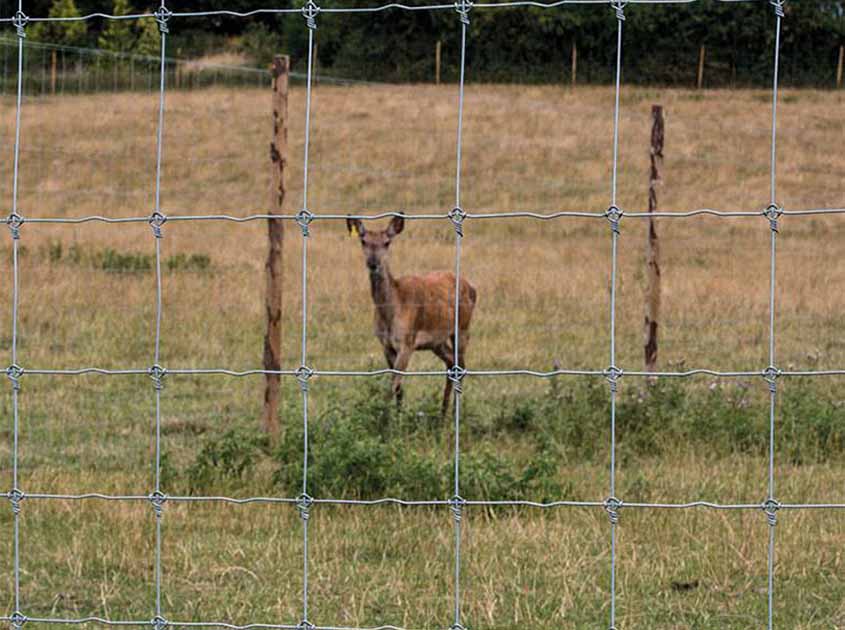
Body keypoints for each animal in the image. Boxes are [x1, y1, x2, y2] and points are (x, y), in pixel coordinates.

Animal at [346, 215, 478, 418]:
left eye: (387, 242)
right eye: (363, 241)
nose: (373, 263)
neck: (391, 311)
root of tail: (472, 287)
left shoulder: (407, 342)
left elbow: (392, 385)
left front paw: (385, 421)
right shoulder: (386, 344)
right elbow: (399, 388)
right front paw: (397, 416)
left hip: (463, 327)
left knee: (460, 365)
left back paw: (453, 414)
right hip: (436, 341)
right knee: (451, 363)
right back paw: (442, 414)